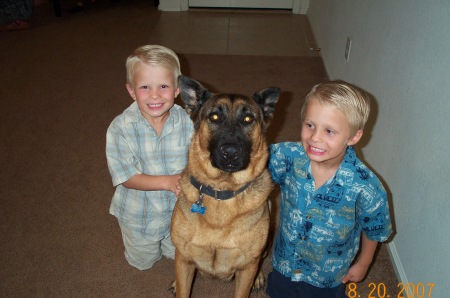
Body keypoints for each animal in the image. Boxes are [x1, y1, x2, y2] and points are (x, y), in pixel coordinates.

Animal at [171, 75, 280, 296]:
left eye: (248, 119)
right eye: (214, 117)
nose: (230, 153)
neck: (222, 189)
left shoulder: (246, 268)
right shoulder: (184, 259)